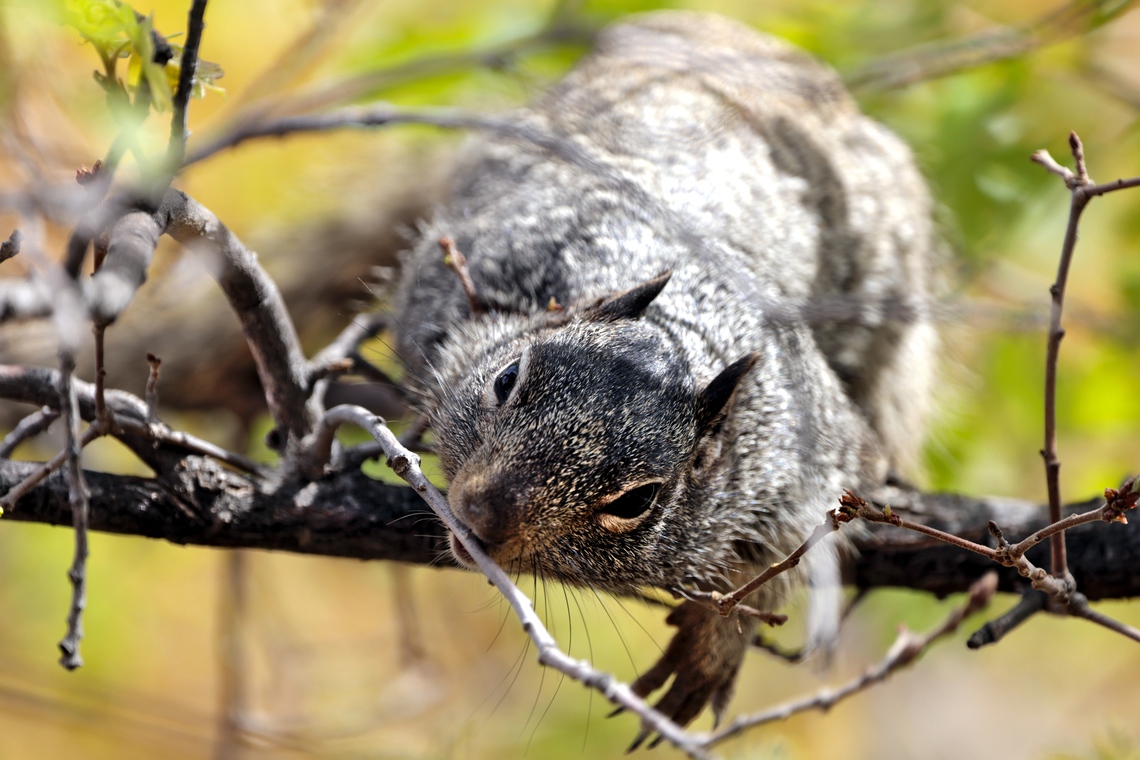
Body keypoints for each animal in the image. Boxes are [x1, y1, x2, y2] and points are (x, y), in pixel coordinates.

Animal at [389, 11, 936, 733]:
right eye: (506, 380)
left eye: (636, 502)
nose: (481, 514)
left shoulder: (812, 438)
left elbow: (806, 538)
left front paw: (716, 637)